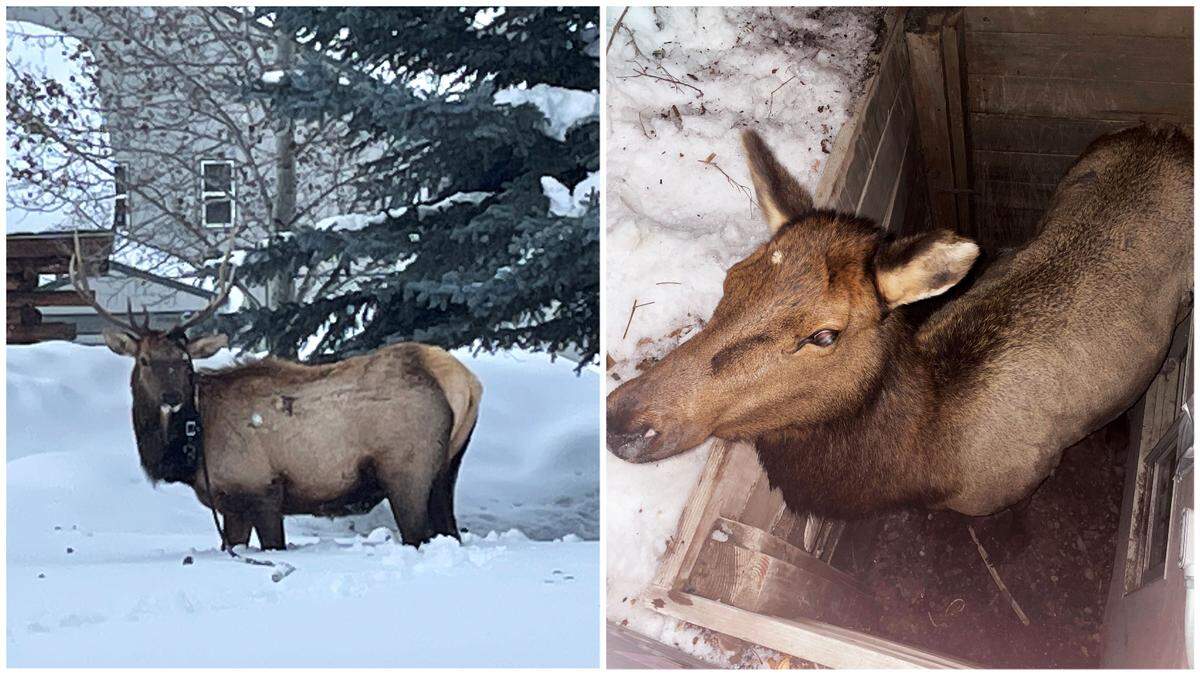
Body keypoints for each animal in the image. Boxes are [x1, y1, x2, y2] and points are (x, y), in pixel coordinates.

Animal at [70, 235, 482, 550]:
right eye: (144, 360)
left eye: (185, 362)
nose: (172, 397)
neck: (193, 449)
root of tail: (463, 381)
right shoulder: (230, 504)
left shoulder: (262, 490)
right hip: (447, 469)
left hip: (407, 471)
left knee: (419, 535)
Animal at [608, 125, 1192, 538]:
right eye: (732, 278)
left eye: (825, 334)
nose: (625, 420)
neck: (918, 459)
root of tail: (1168, 135)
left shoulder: (1017, 483)